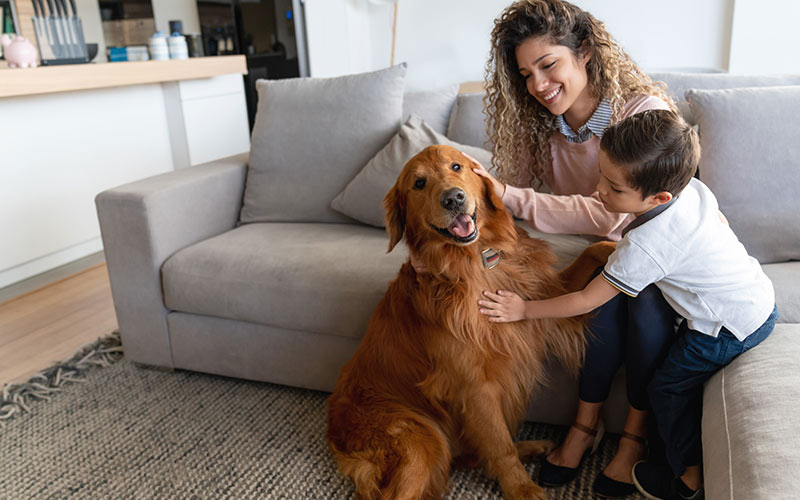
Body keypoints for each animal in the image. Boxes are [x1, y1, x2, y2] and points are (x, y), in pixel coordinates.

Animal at [328, 146, 608, 500]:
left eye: (457, 166)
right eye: (418, 183)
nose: (453, 198)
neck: (476, 262)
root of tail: (333, 427)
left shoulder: (547, 295)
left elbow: (595, 251)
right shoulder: (475, 385)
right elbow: (500, 446)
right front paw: (521, 489)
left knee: (471, 455)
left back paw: (533, 447)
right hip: (421, 440)